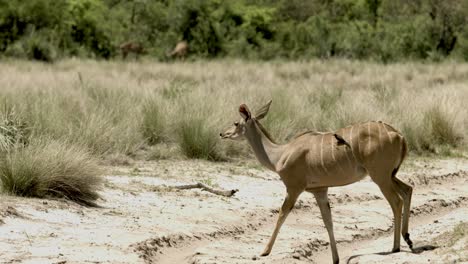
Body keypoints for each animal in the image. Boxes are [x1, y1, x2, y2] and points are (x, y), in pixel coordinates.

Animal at [219, 100, 414, 262]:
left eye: (236, 123)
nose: (222, 133)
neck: (280, 154)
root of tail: (399, 135)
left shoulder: (294, 188)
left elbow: (282, 215)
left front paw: (264, 251)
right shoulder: (320, 191)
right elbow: (328, 221)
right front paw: (335, 259)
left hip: (380, 176)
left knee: (396, 201)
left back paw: (396, 247)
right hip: (389, 175)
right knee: (408, 189)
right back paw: (408, 238)